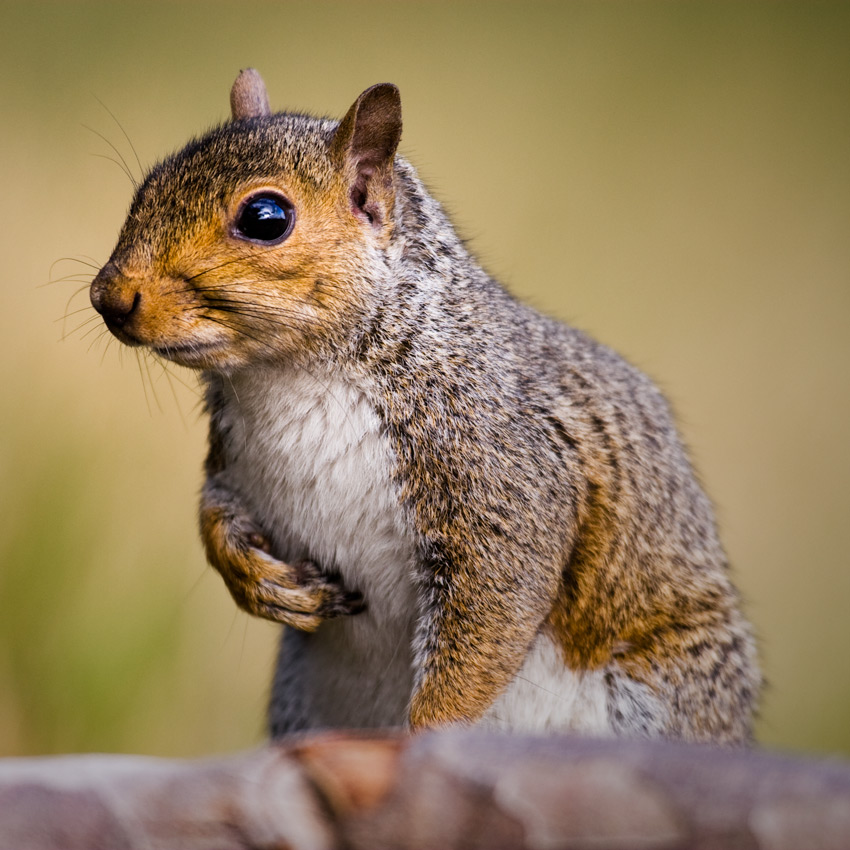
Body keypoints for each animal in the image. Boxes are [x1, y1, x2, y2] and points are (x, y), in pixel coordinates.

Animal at [89, 68, 760, 744]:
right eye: (149, 185)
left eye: (266, 217)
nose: (108, 297)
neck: (291, 377)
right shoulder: (233, 458)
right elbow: (215, 510)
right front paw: (256, 580)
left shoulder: (505, 476)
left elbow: (490, 613)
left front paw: (427, 737)